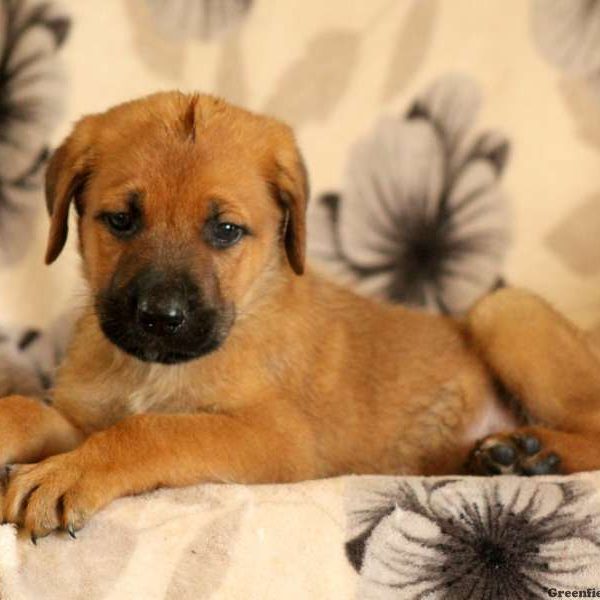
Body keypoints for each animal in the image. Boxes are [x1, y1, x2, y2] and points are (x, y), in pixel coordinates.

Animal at [1, 91, 600, 540]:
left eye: (225, 230)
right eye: (121, 220)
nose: (160, 318)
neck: (153, 369)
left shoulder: (277, 438)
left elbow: (153, 429)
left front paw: (70, 473)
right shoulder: (81, 418)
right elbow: (29, 411)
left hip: (505, 309)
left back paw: (532, 453)